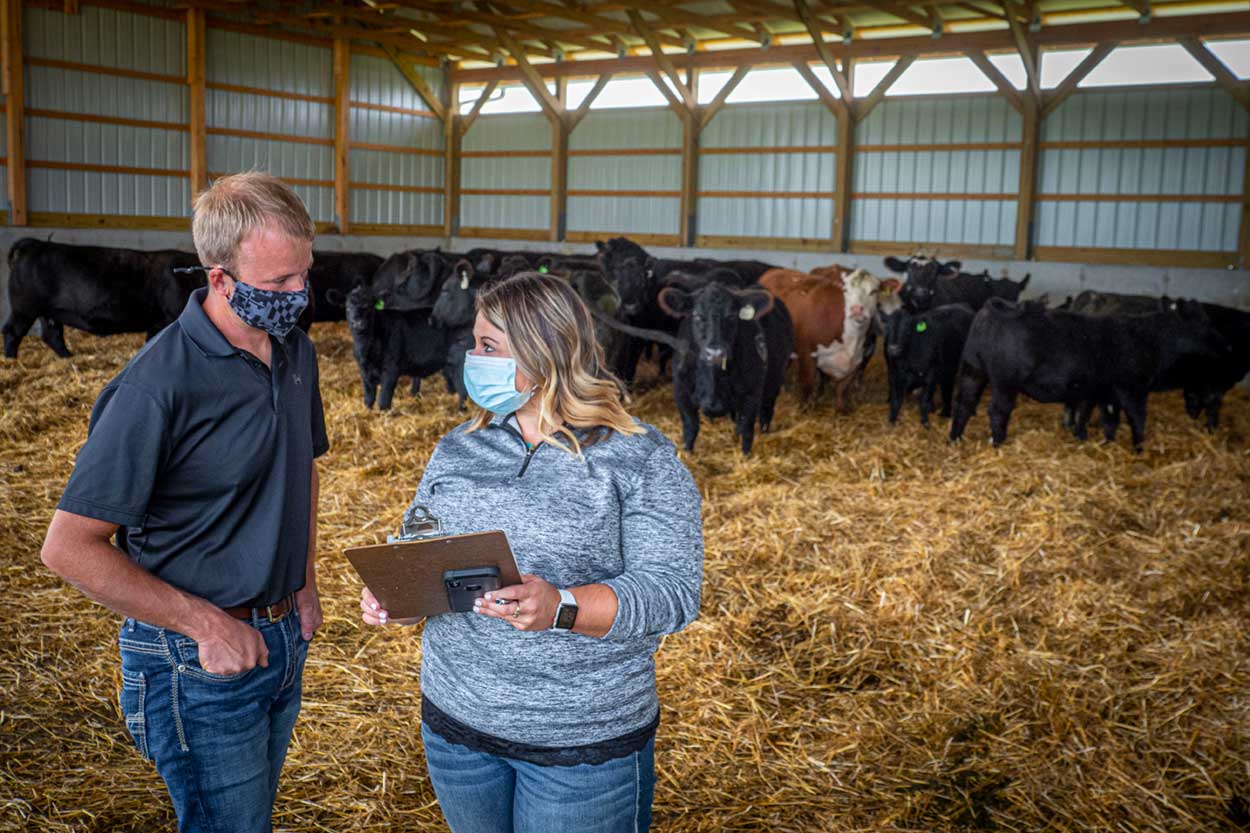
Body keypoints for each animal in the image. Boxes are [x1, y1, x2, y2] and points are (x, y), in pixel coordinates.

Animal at [3, 238, 202, 357]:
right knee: (12, 331)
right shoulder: (165, 319)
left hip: (48, 312)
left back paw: (67, 357)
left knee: (52, 334)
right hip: (24, 308)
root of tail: (33, 244)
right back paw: (11, 358)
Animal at [945, 298, 1230, 450]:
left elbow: (1104, 418)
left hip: (973, 370)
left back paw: (955, 438)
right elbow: (1137, 419)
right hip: (1005, 382)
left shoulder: (1102, 392)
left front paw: (1102, 442)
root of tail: (997, 306)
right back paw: (998, 443)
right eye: (1203, 323)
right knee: (997, 410)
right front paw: (1139, 448)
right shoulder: (1133, 388)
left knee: (964, 404)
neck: (1149, 339)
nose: (1226, 345)